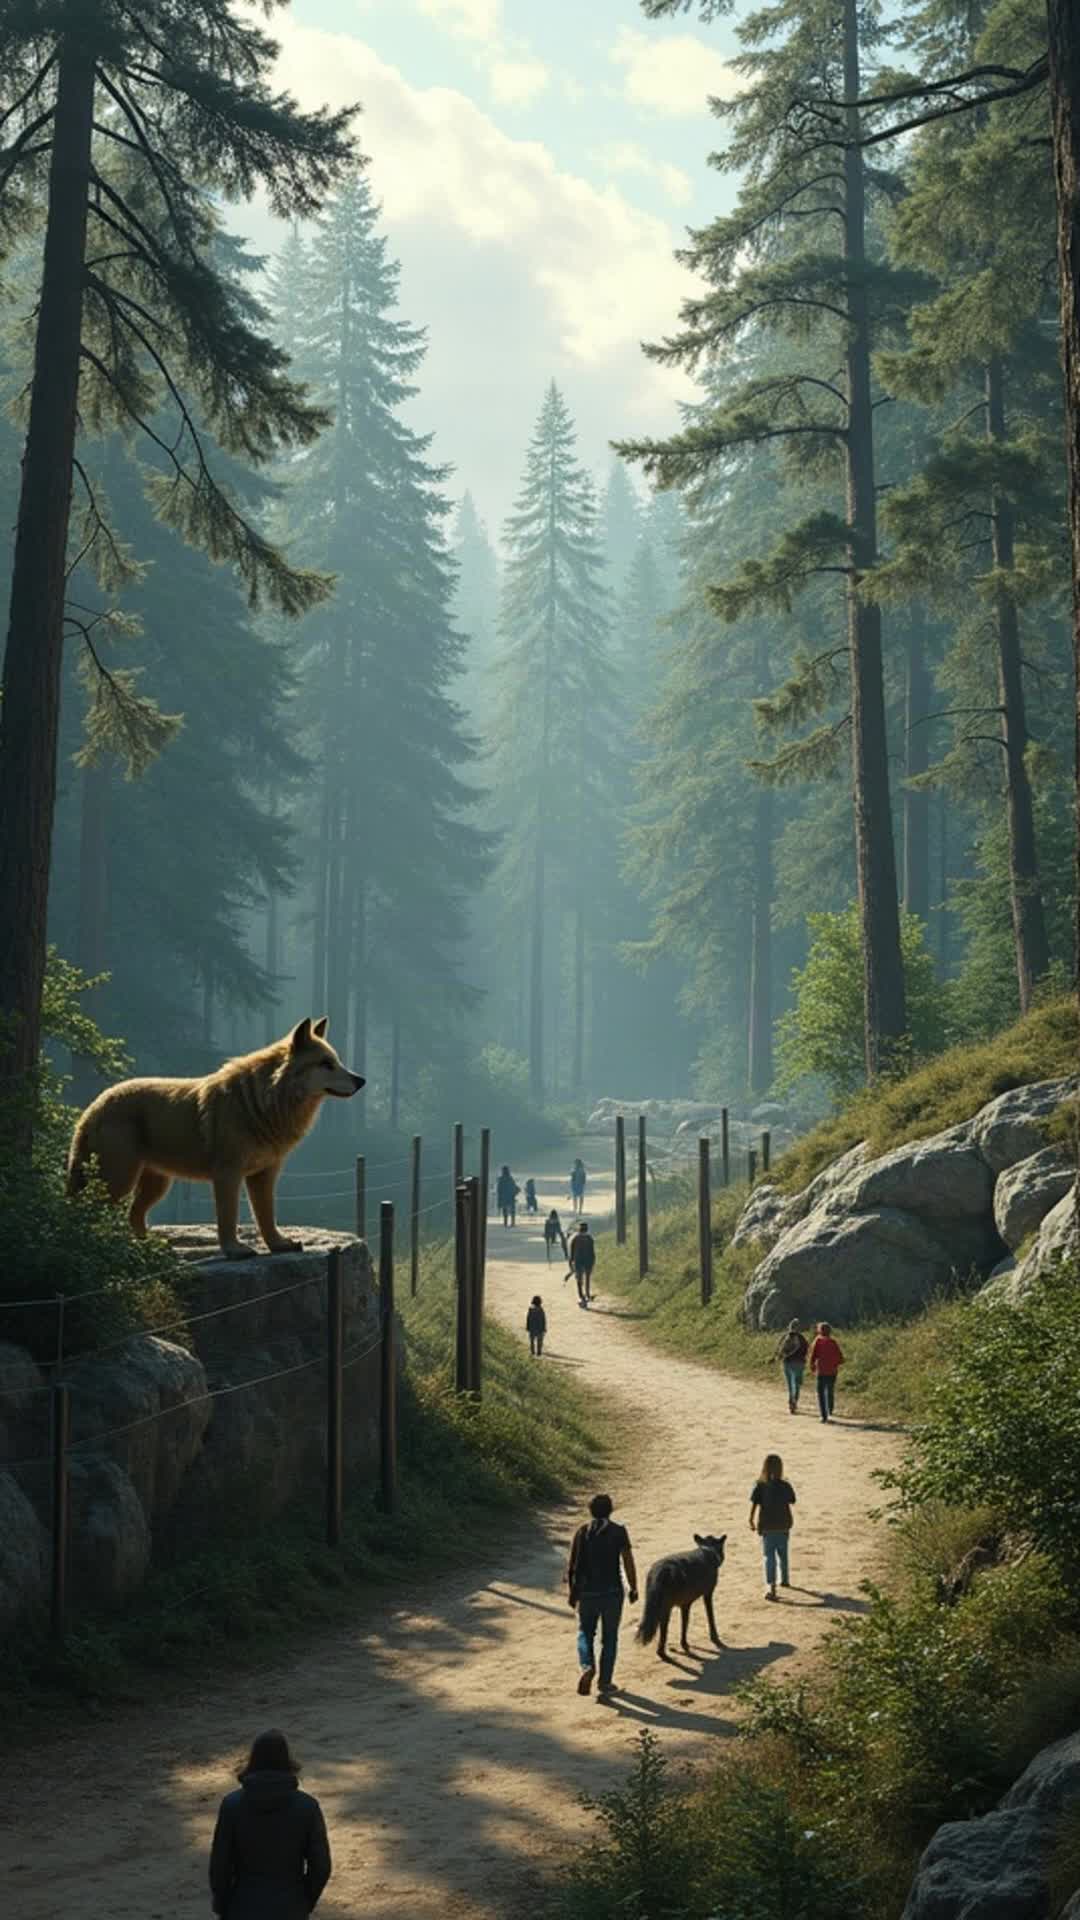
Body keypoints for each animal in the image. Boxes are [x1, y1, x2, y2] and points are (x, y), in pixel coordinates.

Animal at [66, 1017, 364, 1260]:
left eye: (337, 1061)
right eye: (326, 1064)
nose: (361, 1080)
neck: (265, 1101)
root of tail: (93, 1106)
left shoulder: (264, 1175)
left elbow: (267, 1216)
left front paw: (279, 1245)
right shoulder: (228, 1174)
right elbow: (228, 1217)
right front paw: (235, 1251)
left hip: (157, 1184)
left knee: (133, 1215)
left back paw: (149, 1248)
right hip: (120, 1180)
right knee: (89, 1212)